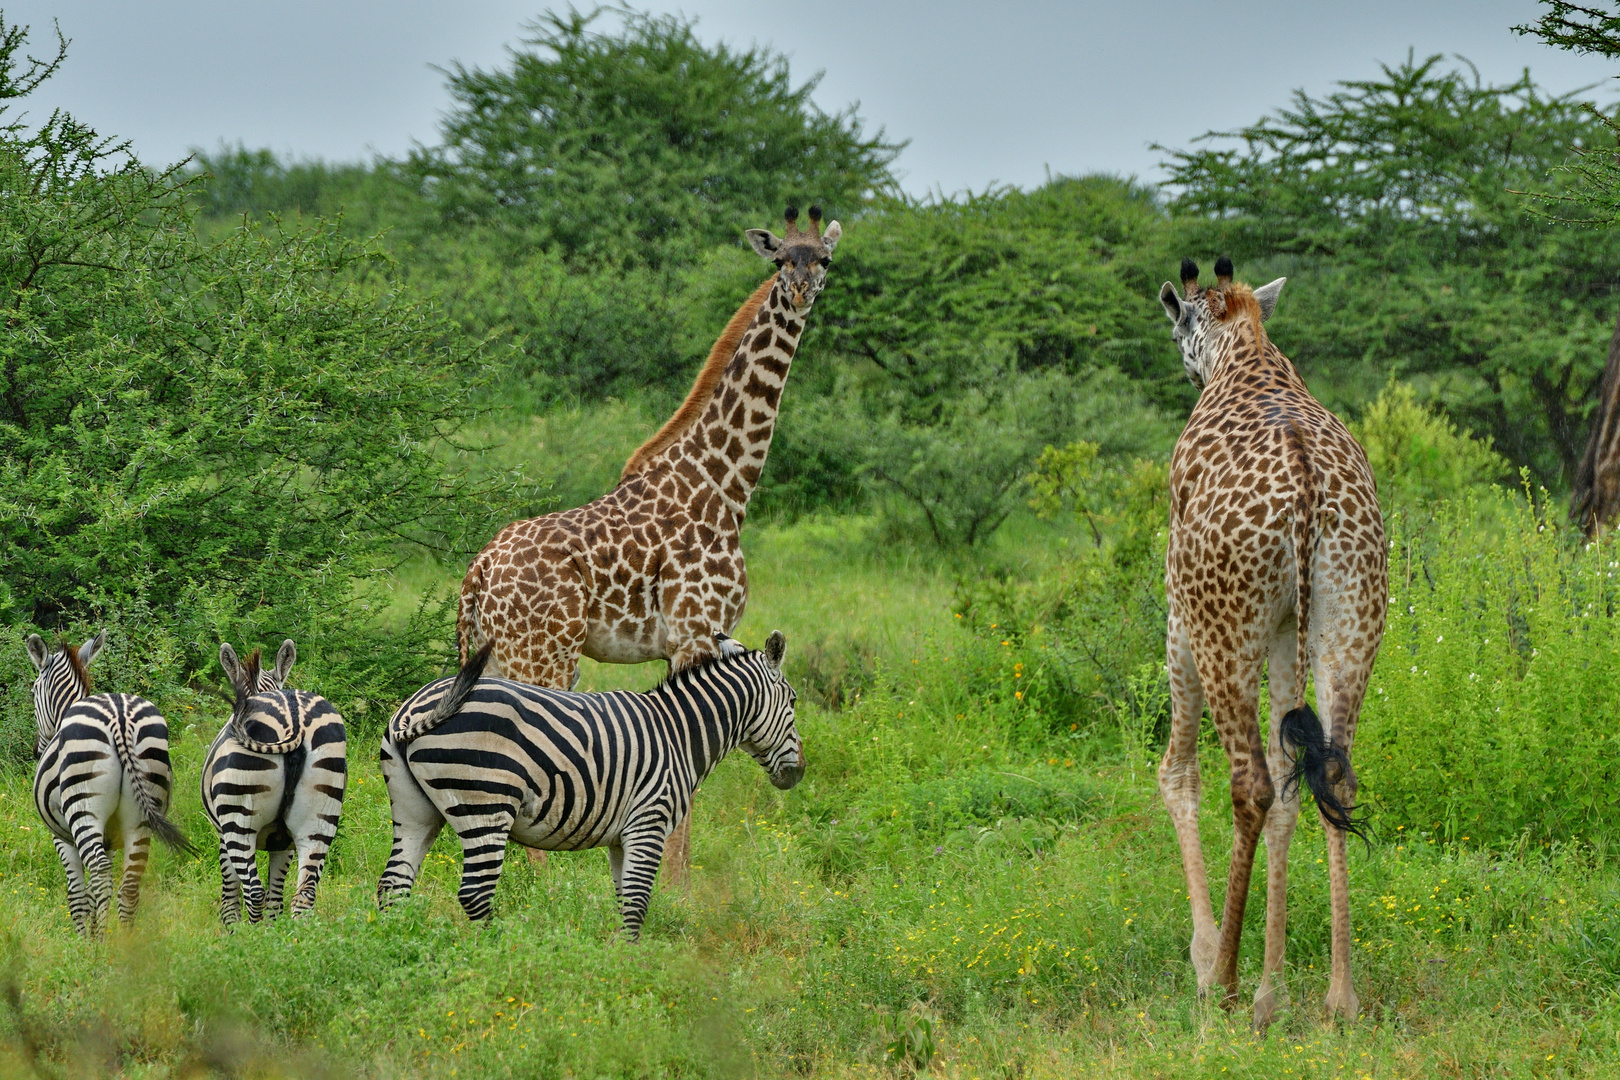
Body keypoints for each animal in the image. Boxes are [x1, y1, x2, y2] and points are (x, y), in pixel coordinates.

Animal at [27, 634, 193, 939]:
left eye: (33, 691)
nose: (36, 750)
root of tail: (120, 716)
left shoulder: (61, 836)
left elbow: (79, 894)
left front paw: (85, 938)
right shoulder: (112, 837)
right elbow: (93, 892)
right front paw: (93, 931)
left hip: (84, 810)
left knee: (101, 872)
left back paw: (100, 946)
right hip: (139, 815)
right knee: (129, 884)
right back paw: (126, 946)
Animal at [205, 641, 348, 932]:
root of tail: (295, 717)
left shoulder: (222, 832)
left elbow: (230, 890)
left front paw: (232, 930)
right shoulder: (284, 842)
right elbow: (276, 897)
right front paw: (273, 933)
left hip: (239, 817)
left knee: (254, 890)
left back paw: (252, 939)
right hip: (320, 818)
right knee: (304, 894)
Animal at [380, 628, 810, 939]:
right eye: (792, 701)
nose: (800, 773)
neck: (679, 733)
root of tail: (413, 711)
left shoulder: (622, 837)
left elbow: (623, 901)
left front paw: (616, 958)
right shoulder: (649, 823)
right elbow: (637, 903)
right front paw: (631, 969)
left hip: (415, 812)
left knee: (392, 886)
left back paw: (395, 950)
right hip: (486, 805)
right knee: (474, 893)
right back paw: (497, 951)